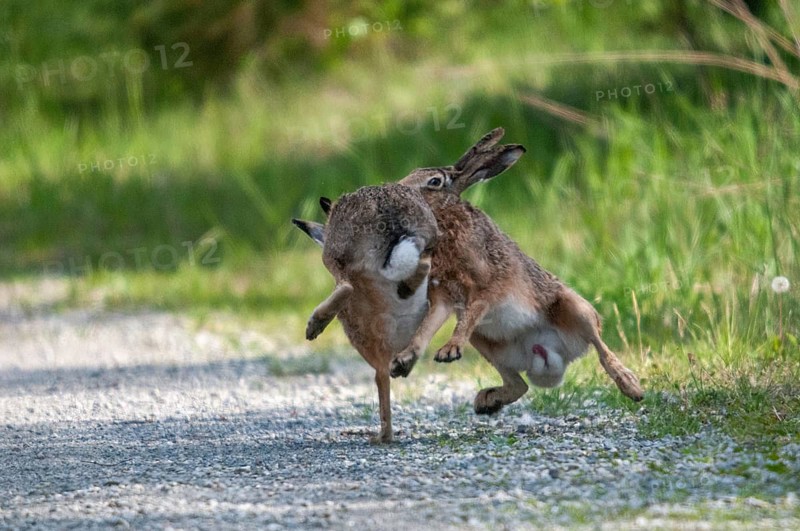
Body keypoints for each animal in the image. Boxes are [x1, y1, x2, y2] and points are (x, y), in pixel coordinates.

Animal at [390, 128, 644, 414]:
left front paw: (449, 351)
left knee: (600, 348)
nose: (397, 190)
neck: (446, 220)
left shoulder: (488, 286)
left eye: (434, 181)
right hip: (484, 341)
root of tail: (549, 354)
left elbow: (471, 311)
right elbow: (425, 329)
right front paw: (402, 361)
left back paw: (632, 387)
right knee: (519, 385)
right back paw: (487, 401)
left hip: (577, 310)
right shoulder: (444, 297)